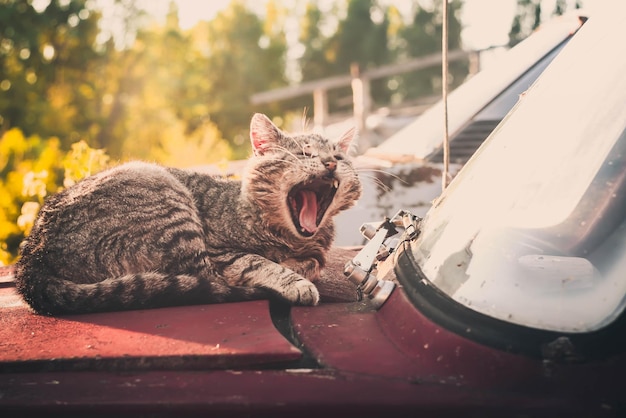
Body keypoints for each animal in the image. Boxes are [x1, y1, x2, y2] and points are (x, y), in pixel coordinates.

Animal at [14, 112, 360, 316]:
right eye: (304, 154)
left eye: (339, 156)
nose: (330, 163)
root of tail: (30, 263)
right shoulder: (221, 251)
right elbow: (256, 261)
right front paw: (295, 278)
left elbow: (313, 261)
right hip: (163, 193)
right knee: (204, 277)